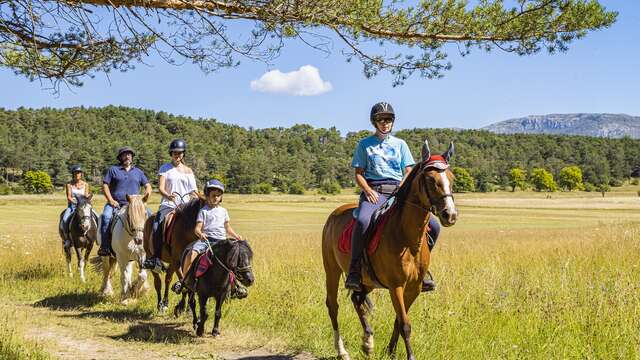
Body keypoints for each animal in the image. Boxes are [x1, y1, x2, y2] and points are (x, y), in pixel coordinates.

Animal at [322, 140, 458, 360]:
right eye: (430, 179)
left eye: (452, 178)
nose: (450, 215)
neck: (407, 239)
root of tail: (335, 214)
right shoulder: (396, 286)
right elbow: (405, 324)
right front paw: (408, 356)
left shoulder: (414, 288)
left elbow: (399, 320)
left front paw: (390, 351)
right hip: (332, 270)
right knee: (333, 305)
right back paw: (342, 350)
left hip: (366, 280)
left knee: (357, 299)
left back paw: (368, 342)